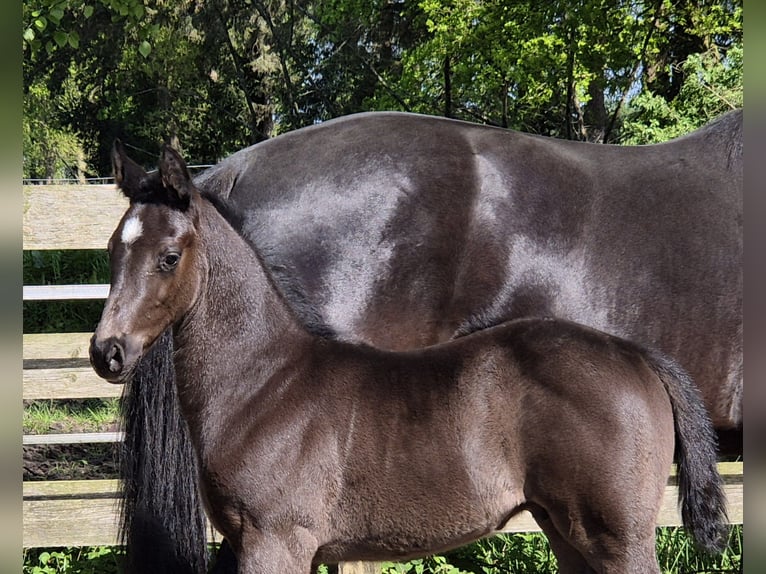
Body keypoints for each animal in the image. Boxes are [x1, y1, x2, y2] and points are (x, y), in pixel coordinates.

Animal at [117, 110, 740, 572]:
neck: (267, 384)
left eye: (169, 256)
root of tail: (638, 355)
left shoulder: (276, 541)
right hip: (570, 530)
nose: (109, 351)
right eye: (114, 246)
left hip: (617, 536)